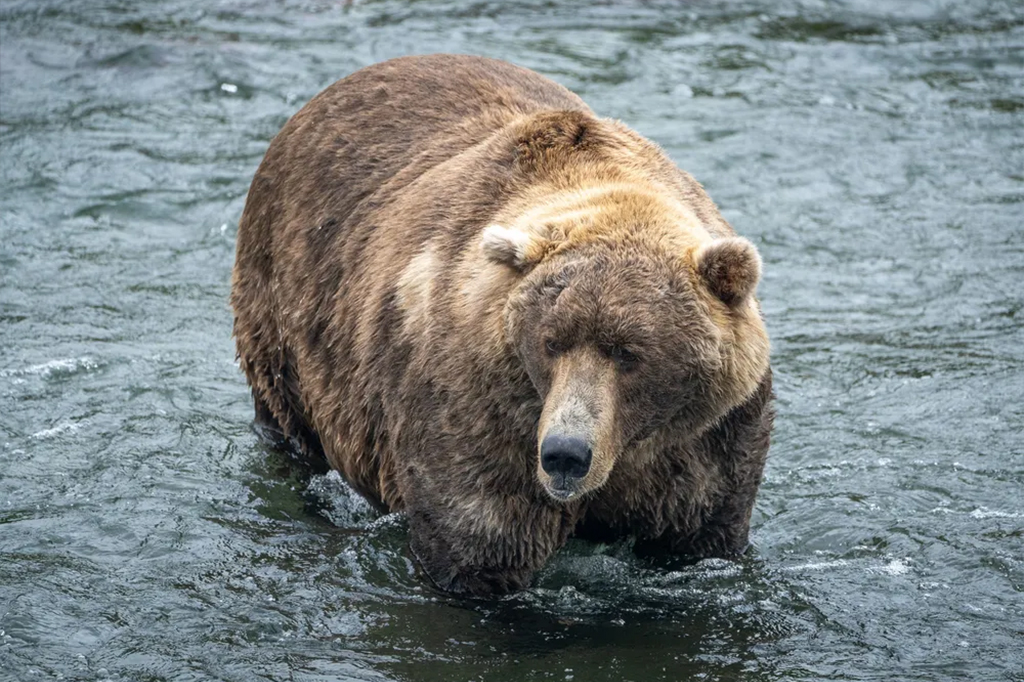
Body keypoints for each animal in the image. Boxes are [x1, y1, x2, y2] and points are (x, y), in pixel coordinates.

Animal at [231, 54, 773, 597]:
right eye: (551, 342)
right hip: (283, 311)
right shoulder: (478, 410)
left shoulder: (705, 438)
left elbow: (700, 533)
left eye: (629, 352)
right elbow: (479, 545)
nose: (565, 453)